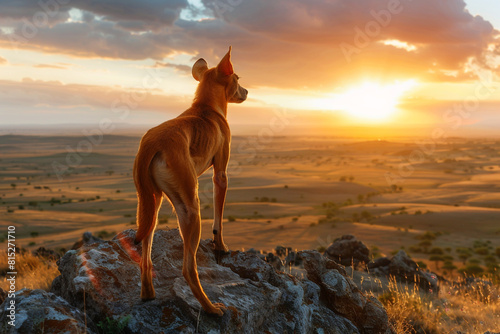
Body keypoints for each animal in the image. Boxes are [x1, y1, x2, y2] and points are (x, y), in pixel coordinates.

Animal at [132, 47, 247, 316]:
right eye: (237, 78)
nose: (247, 91)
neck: (206, 107)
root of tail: (151, 143)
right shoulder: (221, 174)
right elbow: (219, 219)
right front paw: (221, 246)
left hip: (150, 202)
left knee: (146, 255)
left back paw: (148, 293)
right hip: (189, 207)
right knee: (188, 268)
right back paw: (211, 308)